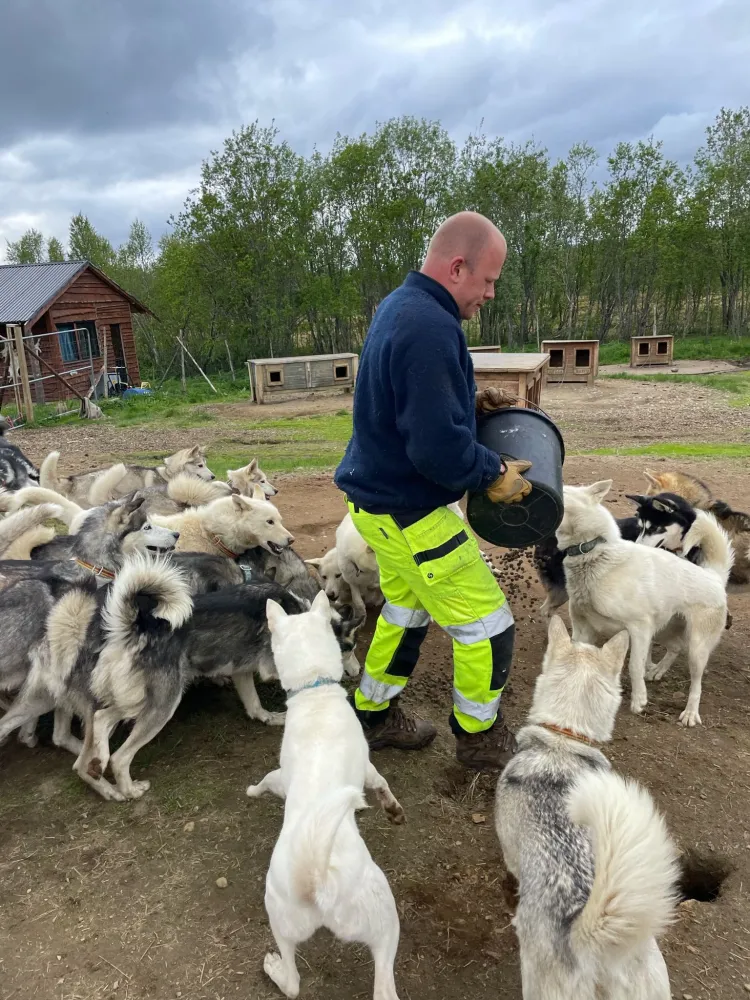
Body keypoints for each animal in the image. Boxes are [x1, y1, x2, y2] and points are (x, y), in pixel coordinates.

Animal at [250, 592, 406, 1000]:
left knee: (293, 983)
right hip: (381, 922)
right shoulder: (365, 766)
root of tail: (316, 880)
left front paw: (252, 790)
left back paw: (273, 967)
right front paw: (391, 808)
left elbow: (265, 781)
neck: (315, 690)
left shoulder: (281, 776)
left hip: (286, 916)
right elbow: (381, 781)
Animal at [560, 480, 732, 724]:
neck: (592, 552)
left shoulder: (639, 628)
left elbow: (634, 666)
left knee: (696, 684)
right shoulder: (583, 629)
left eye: (564, 491)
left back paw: (690, 713)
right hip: (662, 629)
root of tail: (713, 575)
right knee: (675, 647)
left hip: (696, 649)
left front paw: (639, 700)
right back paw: (658, 671)